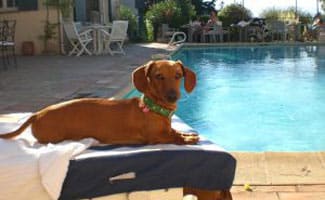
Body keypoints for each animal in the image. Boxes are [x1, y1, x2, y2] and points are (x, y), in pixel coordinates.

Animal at [0, 60, 199, 145]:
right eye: (158, 76)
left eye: (178, 75)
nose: (173, 96)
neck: (154, 108)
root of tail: (37, 114)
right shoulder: (156, 137)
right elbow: (173, 136)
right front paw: (186, 139)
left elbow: (175, 131)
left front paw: (187, 134)